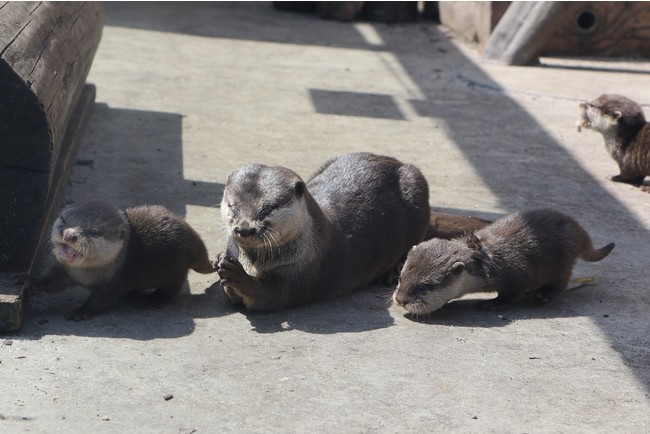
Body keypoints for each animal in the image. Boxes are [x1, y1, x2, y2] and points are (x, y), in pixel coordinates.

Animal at [26, 202, 215, 320]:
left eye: (93, 232)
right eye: (64, 221)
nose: (69, 235)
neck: (85, 275)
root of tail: (196, 240)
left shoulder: (115, 281)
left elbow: (102, 300)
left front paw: (80, 311)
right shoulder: (63, 270)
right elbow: (51, 282)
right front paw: (30, 282)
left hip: (175, 267)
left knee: (173, 288)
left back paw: (155, 298)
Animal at [216, 153, 430, 312]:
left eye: (268, 208)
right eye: (233, 206)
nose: (244, 228)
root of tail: (398, 162)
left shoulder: (300, 275)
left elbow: (270, 297)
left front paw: (238, 276)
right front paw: (220, 260)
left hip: (416, 186)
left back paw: (391, 272)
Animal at [390, 208, 612, 316]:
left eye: (424, 287)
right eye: (400, 279)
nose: (400, 300)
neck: (486, 264)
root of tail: (578, 230)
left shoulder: (517, 275)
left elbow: (512, 295)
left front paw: (492, 304)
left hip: (563, 260)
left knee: (562, 282)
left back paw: (543, 295)